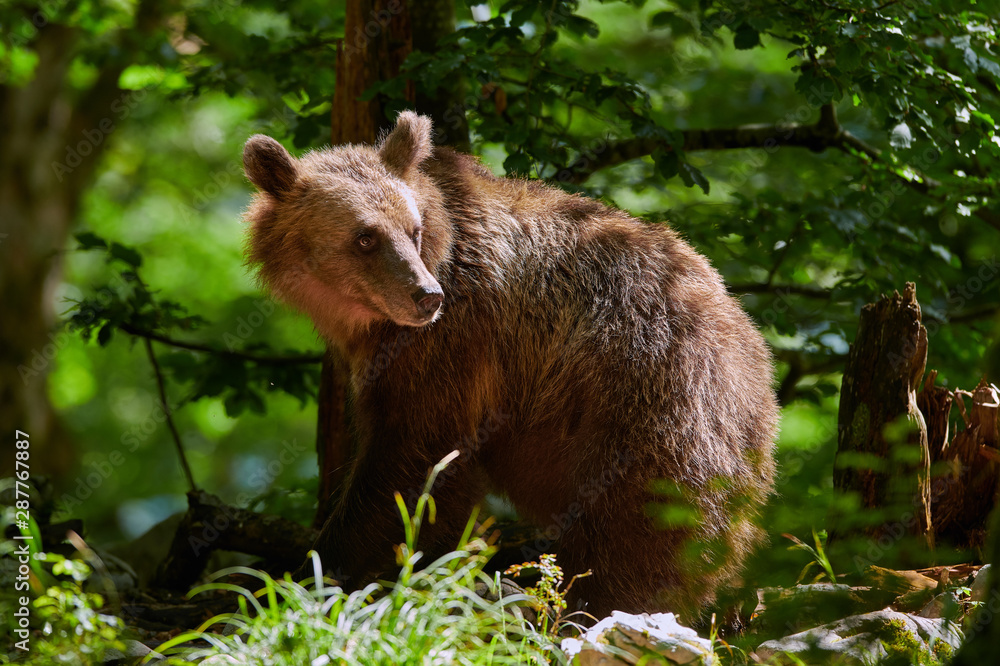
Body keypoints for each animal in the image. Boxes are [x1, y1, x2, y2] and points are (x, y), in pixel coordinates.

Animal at [242, 111, 778, 620]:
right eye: (365, 238)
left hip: (646, 395)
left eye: (412, 230)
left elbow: (414, 458)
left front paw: (316, 571)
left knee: (640, 522)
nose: (425, 295)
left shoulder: (451, 344)